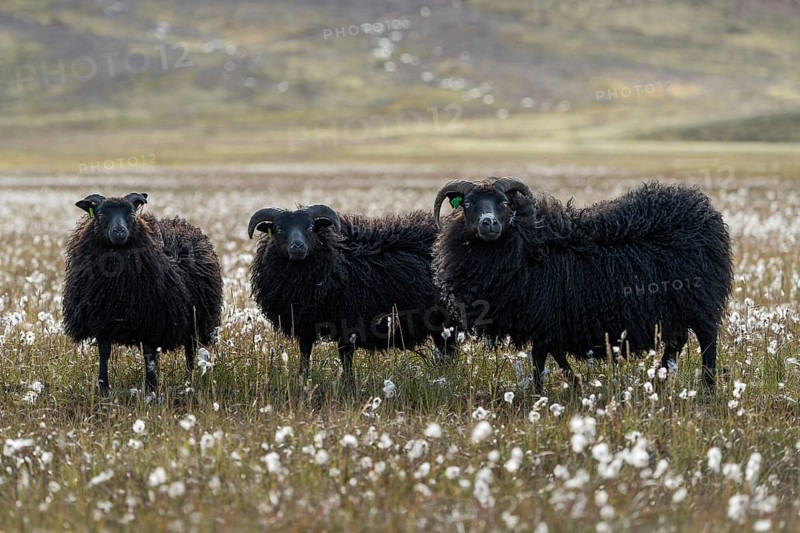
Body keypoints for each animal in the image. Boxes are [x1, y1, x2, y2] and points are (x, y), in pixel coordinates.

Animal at [63, 192, 223, 393]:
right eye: (100, 215)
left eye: (132, 214)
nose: (119, 231)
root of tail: (178, 222)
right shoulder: (102, 320)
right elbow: (104, 352)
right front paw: (103, 388)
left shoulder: (150, 320)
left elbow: (148, 353)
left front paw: (151, 388)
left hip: (196, 320)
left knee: (190, 352)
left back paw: (188, 380)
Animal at [248, 204, 456, 382]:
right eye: (278, 229)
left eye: (311, 227)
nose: (297, 247)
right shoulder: (305, 322)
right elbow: (305, 352)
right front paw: (303, 379)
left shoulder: (348, 322)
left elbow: (345, 356)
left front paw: (348, 384)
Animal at [432, 177, 733, 395]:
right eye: (467, 204)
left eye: (504, 202)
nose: (489, 223)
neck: (527, 244)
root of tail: (705, 212)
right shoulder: (548, 321)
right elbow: (552, 354)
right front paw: (573, 382)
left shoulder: (544, 315)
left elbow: (539, 357)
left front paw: (540, 393)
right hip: (676, 309)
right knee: (676, 343)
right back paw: (660, 380)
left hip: (701, 303)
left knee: (707, 343)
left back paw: (707, 389)